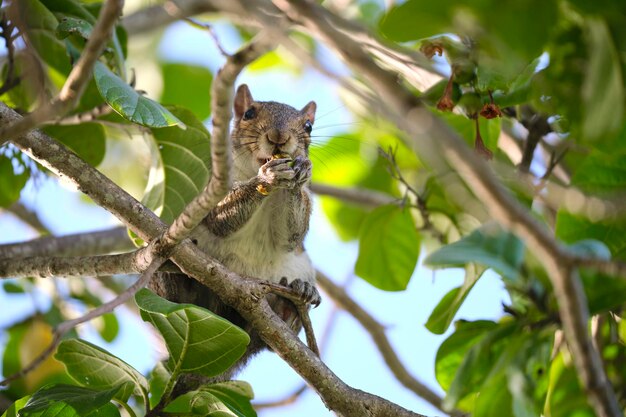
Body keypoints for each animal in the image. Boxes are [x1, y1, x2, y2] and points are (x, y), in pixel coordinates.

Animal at [149, 83, 320, 382]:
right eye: (249, 113)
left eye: (308, 126)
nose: (279, 137)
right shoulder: (213, 188)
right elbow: (221, 220)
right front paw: (267, 178)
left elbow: (291, 237)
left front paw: (300, 170)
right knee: (176, 296)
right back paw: (182, 278)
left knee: (268, 340)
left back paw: (293, 301)